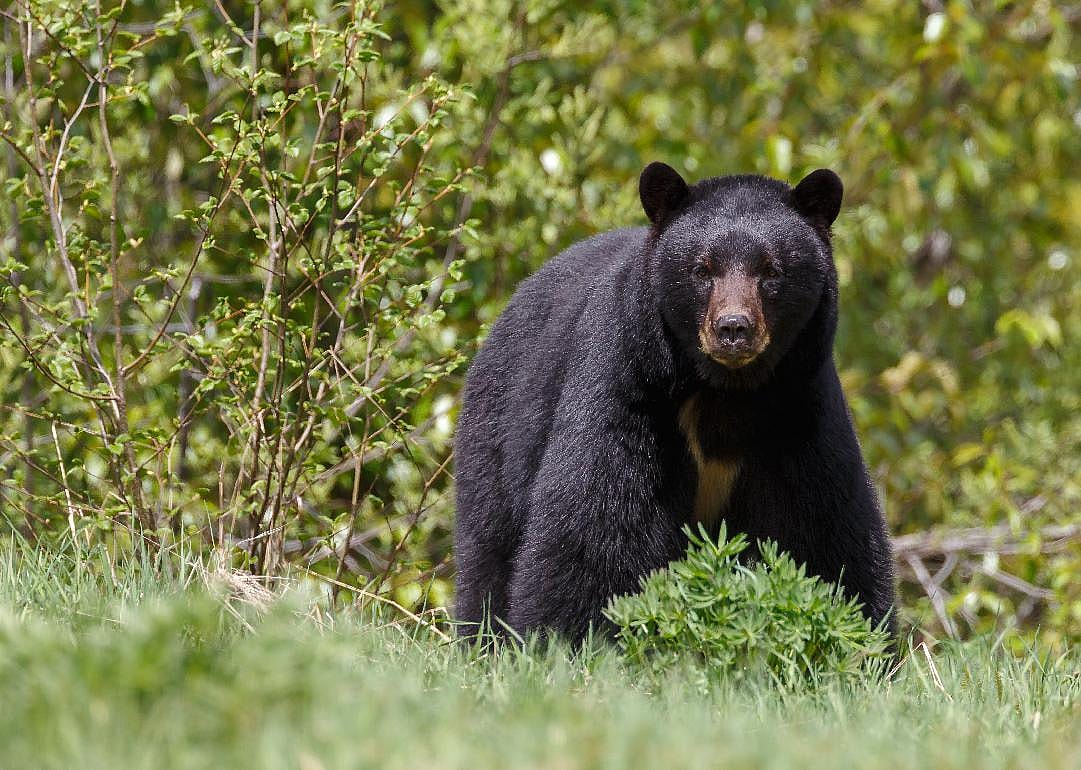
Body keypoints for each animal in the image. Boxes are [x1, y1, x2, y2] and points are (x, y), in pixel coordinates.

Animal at [453, 161, 896, 644]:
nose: (733, 328)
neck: (725, 391)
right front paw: (566, 640)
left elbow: (823, 530)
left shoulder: (798, 410)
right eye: (702, 269)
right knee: (489, 548)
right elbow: (597, 525)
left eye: (771, 270)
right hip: (499, 430)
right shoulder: (631, 387)